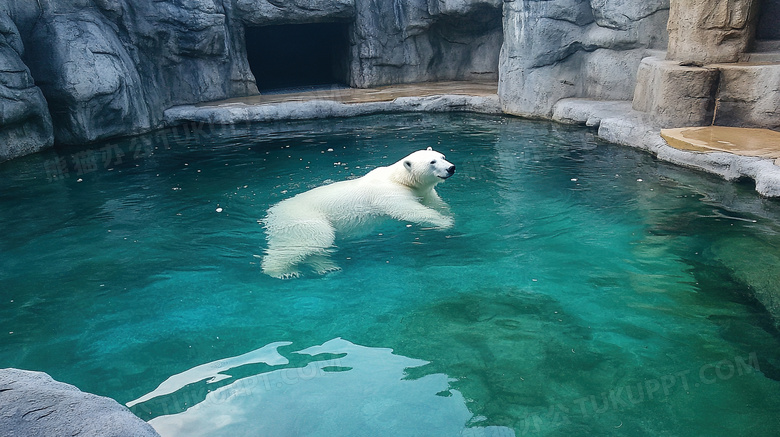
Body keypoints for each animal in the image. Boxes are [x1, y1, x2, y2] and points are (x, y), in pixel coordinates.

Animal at [264, 148, 458, 278]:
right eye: (432, 162)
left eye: (442, 157)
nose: (451, 168)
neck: (398, 179)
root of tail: (272, 214)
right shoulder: (389, 194)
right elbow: (409, 211)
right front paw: (445, 223)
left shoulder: (420, 191)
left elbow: (433, 201)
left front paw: (448, 214)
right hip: (304, 219)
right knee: (310, 240)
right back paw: (282, 271)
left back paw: (327, 267)